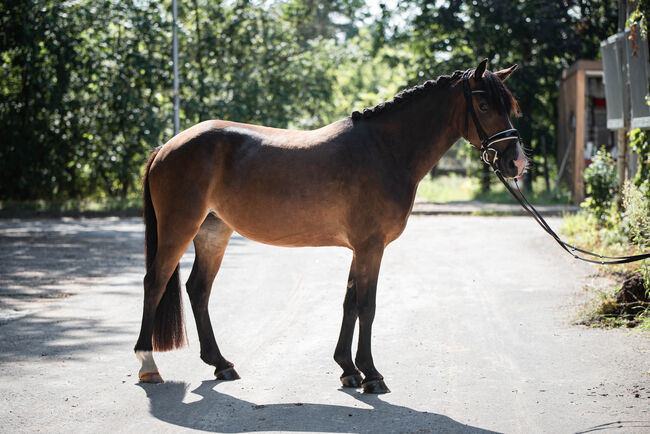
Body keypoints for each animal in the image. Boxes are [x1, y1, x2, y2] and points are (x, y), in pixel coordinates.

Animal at [133, 58, 528, 394]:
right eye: (484, 107)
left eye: (510, 107)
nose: (517, 163)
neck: (383, 149)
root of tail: (167, 146)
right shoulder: (371, 247)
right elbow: (367, 305)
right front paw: (372, 375)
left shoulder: (360, 249)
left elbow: (349, 302)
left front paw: (348, 369)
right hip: (179, 229)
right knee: (155, 282)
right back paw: (148, 365)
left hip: (213, 233)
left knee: (198, 289)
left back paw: (221, 364)